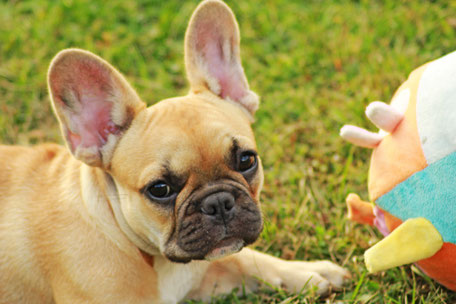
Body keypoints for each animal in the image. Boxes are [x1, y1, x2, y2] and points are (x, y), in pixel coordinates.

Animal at [0, 1, 348, 302]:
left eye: (246, 160)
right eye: (160, 189)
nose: (219, 202)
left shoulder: (204, 272)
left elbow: (246, 259)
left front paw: (309, 272)